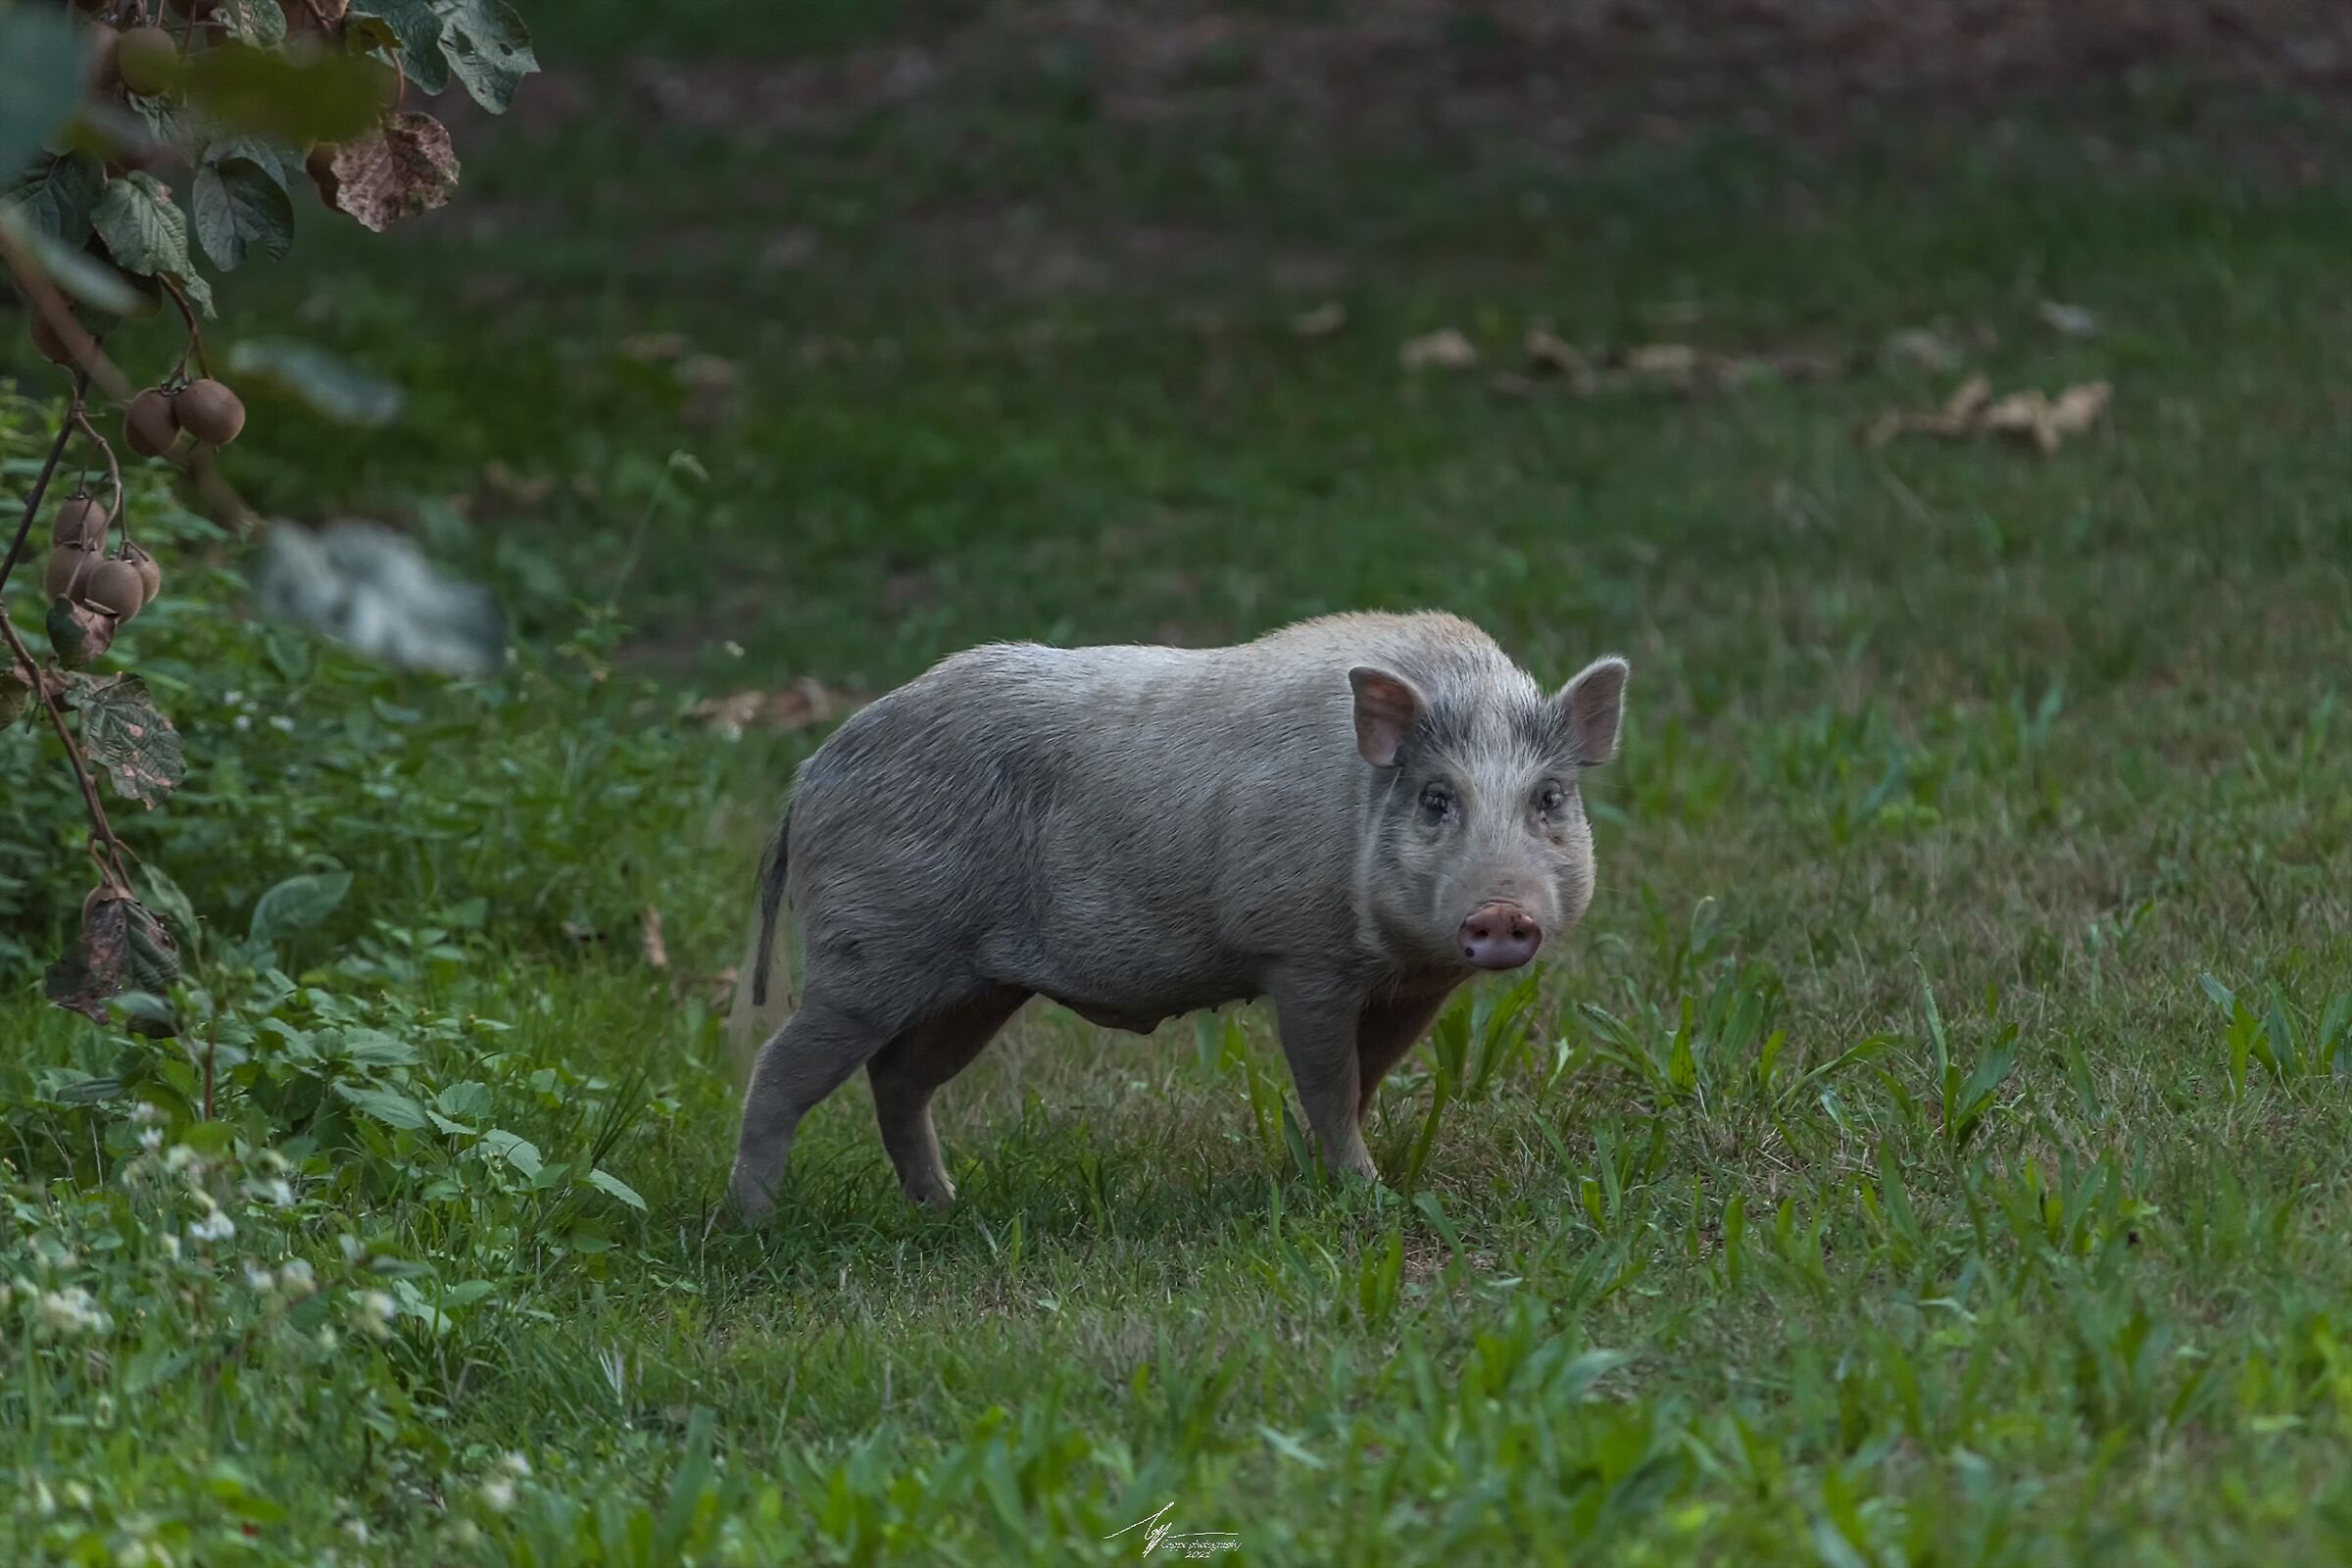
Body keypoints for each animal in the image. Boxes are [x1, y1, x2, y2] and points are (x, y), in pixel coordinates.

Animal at [727, 611, 1627, 1222]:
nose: (1502, 913)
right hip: (866, 953)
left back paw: (945, 1207)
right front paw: (1368, 1198)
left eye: (1549, 798)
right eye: (1438, 800)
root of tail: (809, 775)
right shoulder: (1301, 958)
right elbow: (1330, 1082)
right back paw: (752, 1224)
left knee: (898, 1077)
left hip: (977, 987)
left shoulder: (1415, 986)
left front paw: (1324, 1179)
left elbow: (1363, 1081)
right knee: (779, 1068)